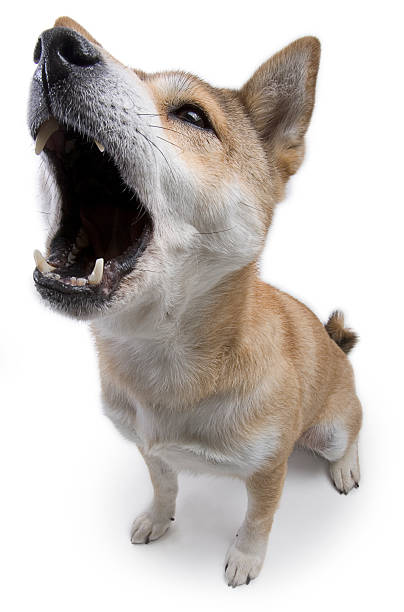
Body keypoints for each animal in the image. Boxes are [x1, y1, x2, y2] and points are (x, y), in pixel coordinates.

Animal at [29, 15, 362, 588]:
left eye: (192, 115)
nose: (56, 45)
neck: (162, 359)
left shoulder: (268, 468)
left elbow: (259, 518)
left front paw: (246, 558)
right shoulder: (150, 450)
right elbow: (164, 488)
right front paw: (158, 519)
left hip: (332, 427)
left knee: (354, 434)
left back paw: (344, 467)